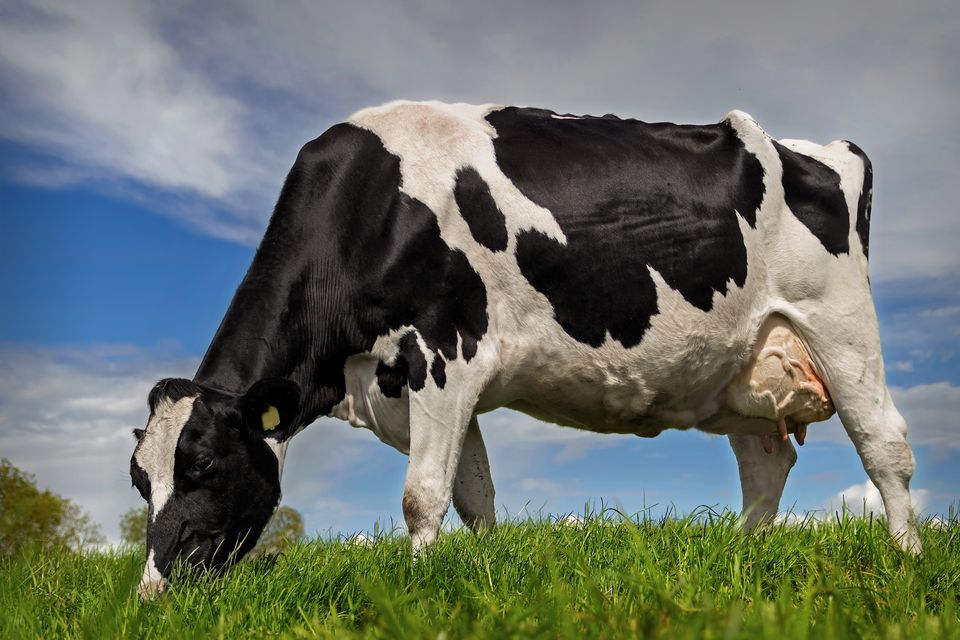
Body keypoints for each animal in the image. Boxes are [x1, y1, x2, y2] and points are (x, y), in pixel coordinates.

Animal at [130, 100, 921, 598]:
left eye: (204, 464)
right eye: (141, 481)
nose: (153, 592)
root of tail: (825, 148)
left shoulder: (442, 350)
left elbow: (422, 495)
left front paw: (418, 586)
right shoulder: (419, 383)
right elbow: (472, 494)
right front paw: (476, 577)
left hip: (839, 323)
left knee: (884, 443)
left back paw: (907, 560)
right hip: (743, 367)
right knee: (767, 463)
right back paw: (741, 560)